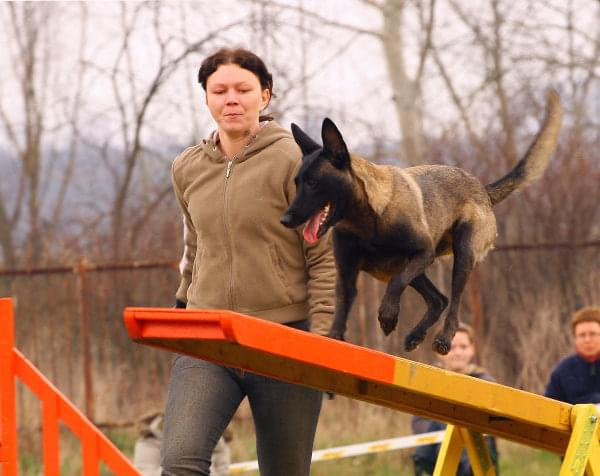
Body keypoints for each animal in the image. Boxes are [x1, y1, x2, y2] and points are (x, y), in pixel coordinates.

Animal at [282, 91, 564, 356]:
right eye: (296, 182)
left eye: (313, 182)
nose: (285, 219)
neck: (366, 222)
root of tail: (483, 190)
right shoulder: (348, 271)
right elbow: (343, 304)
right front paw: (335, 337)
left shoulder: (422, 253)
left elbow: (396, 285)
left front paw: (387, 316)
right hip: (415, 268)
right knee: (439, 299)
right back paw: (416, 335)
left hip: (461, 256)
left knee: (453, 302)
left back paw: (443, 339)